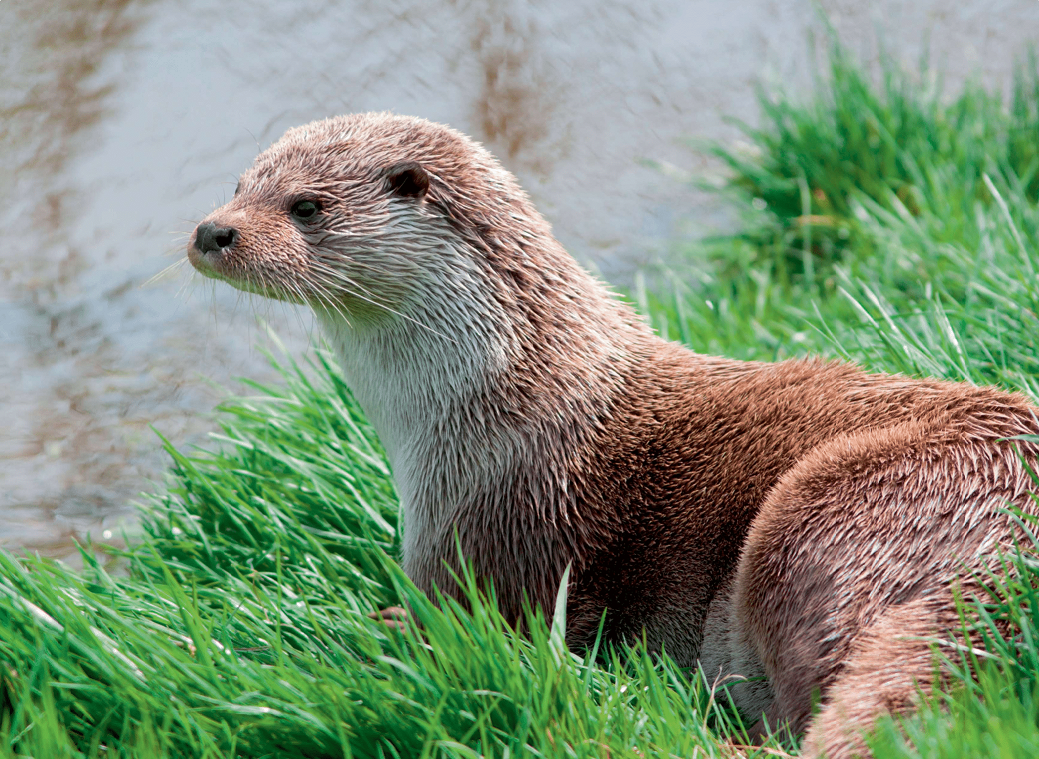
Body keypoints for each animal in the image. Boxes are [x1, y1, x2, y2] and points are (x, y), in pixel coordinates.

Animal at [187, 112, 1039, 759]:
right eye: (240, 184)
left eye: (306, 205)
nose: (211, 230)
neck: (506, 409)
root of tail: (1006, 553)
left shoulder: (496, 537)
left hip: (823, 517)